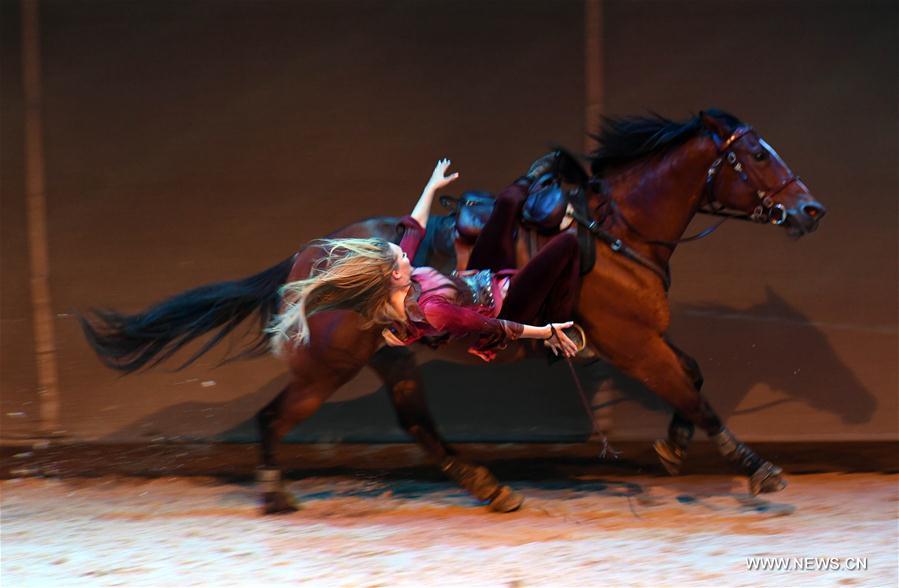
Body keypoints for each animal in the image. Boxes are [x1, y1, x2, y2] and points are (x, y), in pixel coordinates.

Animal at [81, 110, 828, 516]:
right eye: (756, 154)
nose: (810, 208)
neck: (615, 232)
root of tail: (310, 256)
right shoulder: (630, 340)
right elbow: (694, 392)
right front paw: (755, 467)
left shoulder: (643, 337)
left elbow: (692, 376)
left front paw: (673, 446)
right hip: (330, 365)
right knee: (276, 418)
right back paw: (277, 494)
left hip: (388, 358)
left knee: (418, 425)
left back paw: (489, 487)